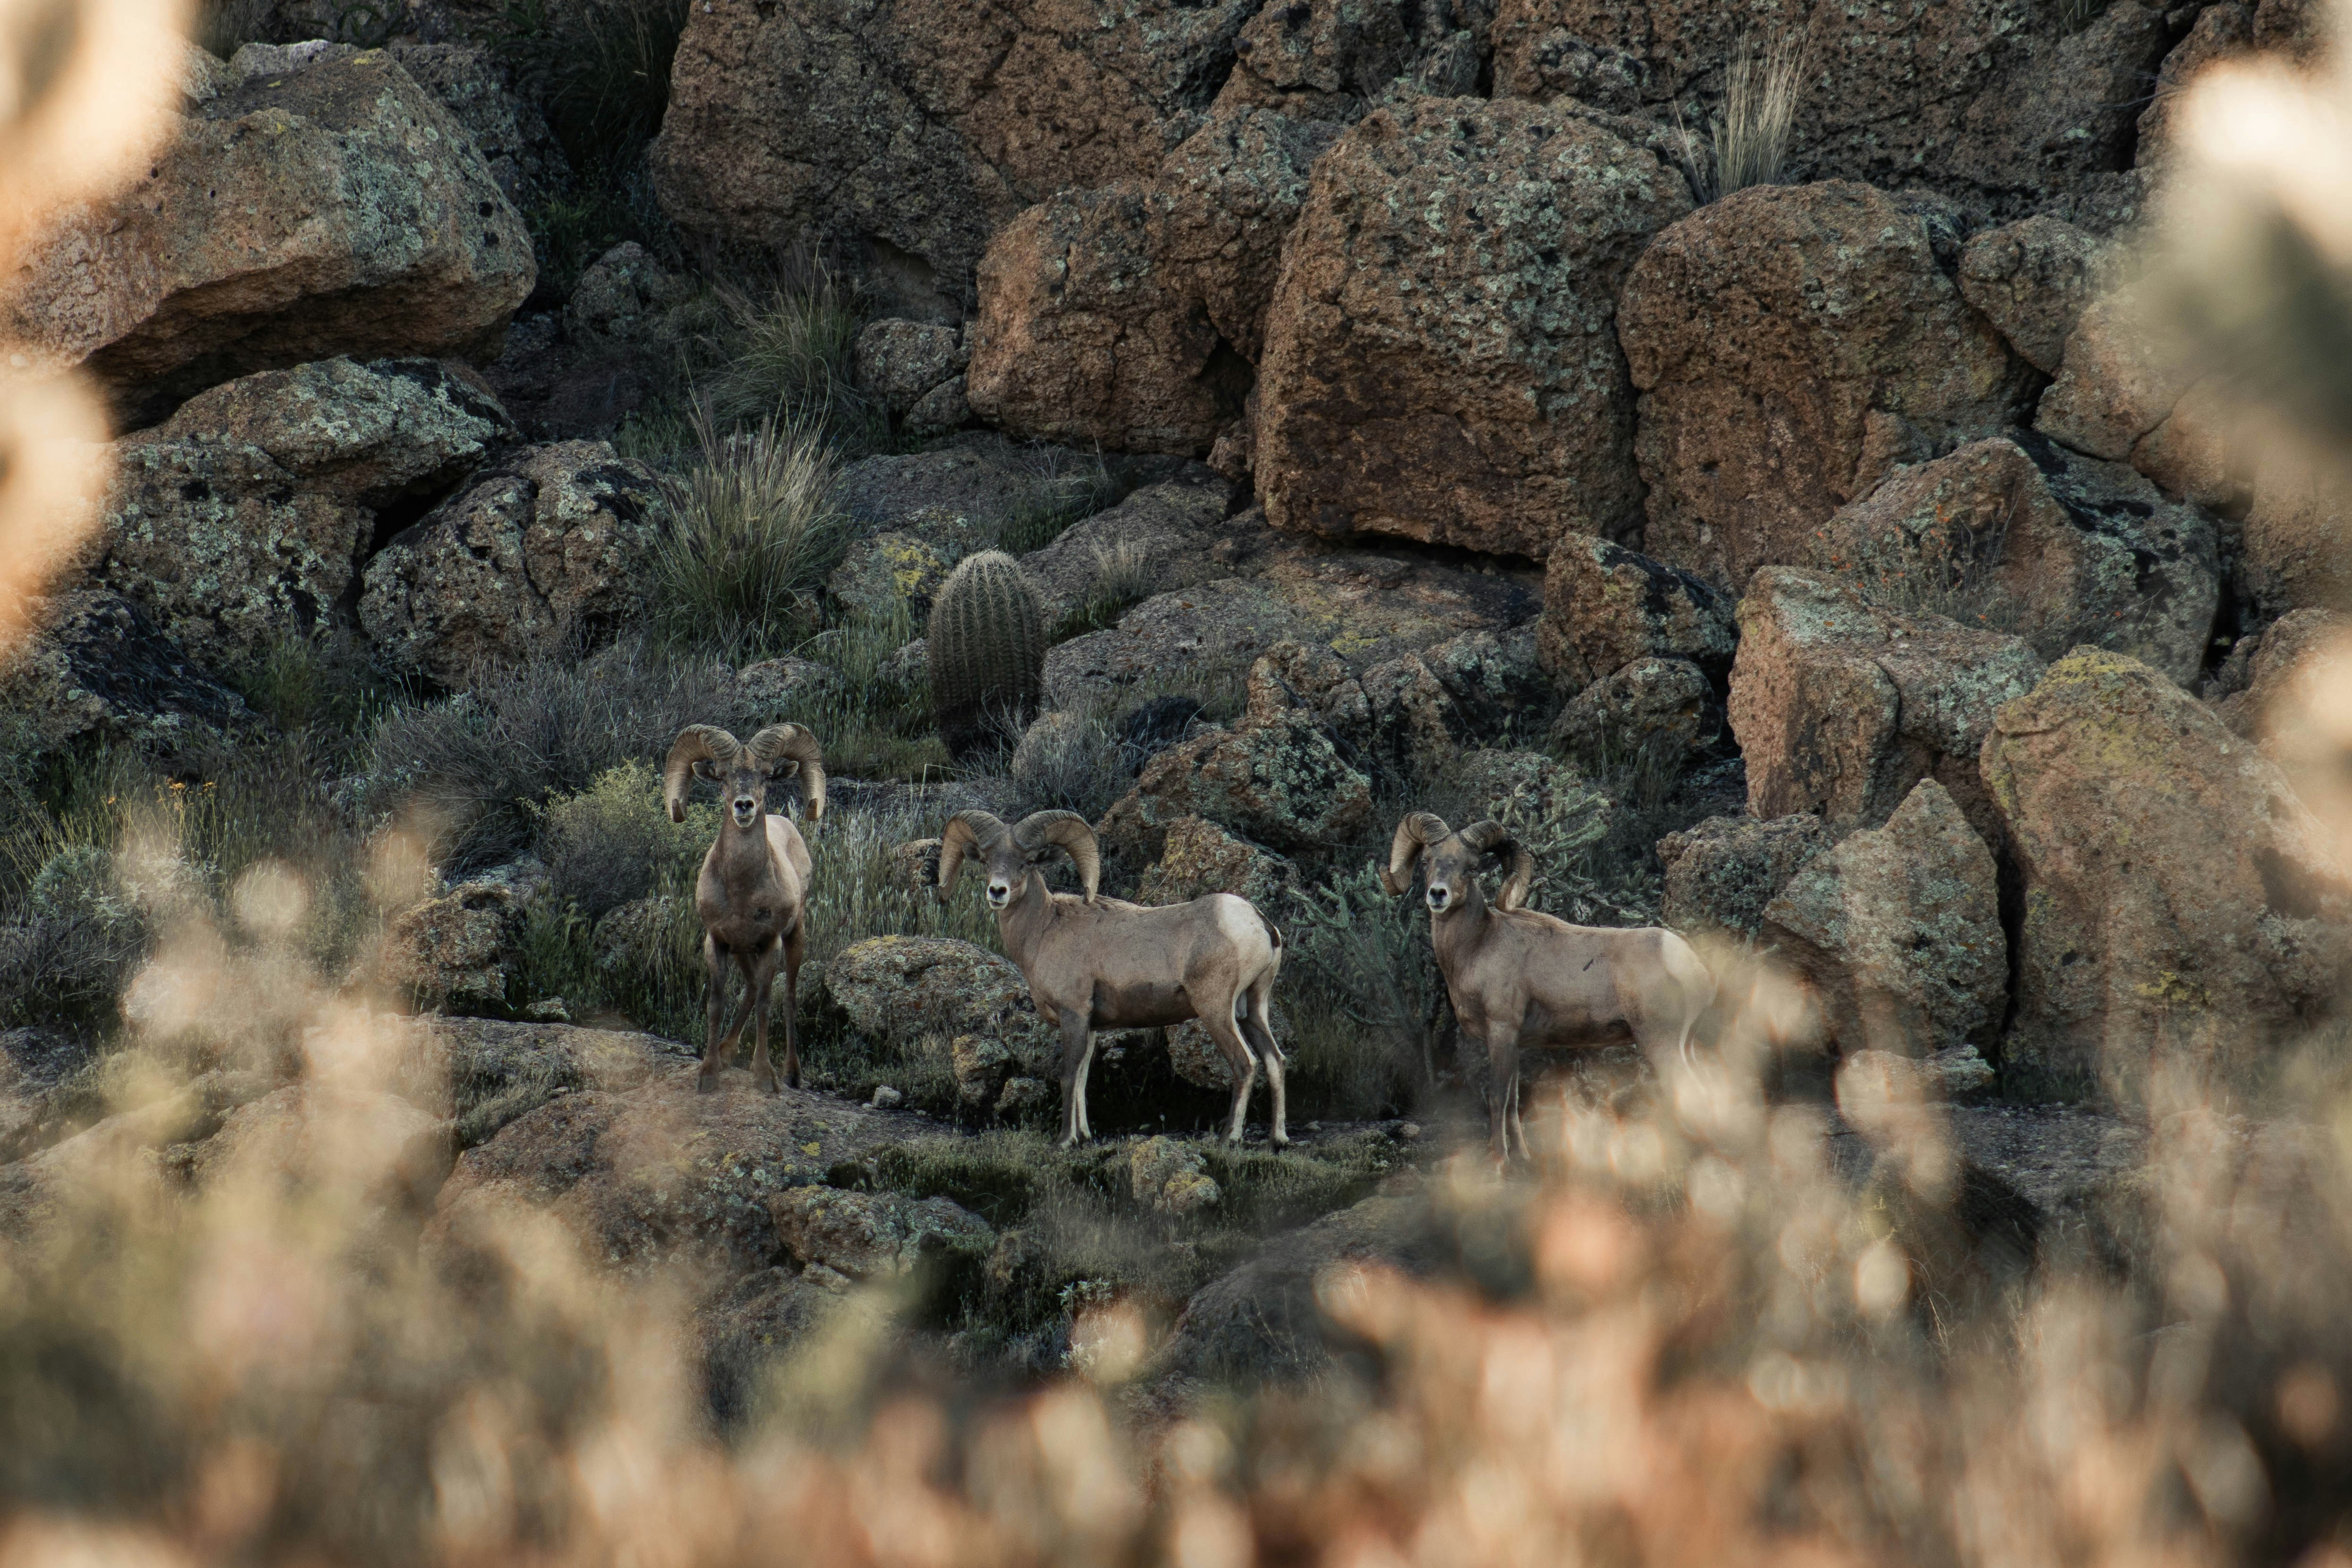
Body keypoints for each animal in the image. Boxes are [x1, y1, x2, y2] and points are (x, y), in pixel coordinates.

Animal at [663, 724, 828, 1090]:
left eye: (766, 776)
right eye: (722, 777)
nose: (744, 805)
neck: (742, 890)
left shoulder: (770, 944)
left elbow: (767, 1003)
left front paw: (765, 1076)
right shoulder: (718, 941)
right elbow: (717, 1002)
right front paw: (709, 1073)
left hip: (795, 937)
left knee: (788, 996)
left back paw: (791, 1074)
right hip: (742, 951)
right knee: (750, 990)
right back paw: (727, 1052)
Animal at [936, 818, 1298, 1147]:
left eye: (1027, 862)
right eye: (986, 861)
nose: (997, 892)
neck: (1044, 931)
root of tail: (1259, 923)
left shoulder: (1074, 1015)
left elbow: (1069, 1075)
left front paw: (1064, 1141)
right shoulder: (1092, 1025)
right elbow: (1083, 1077)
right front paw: (1084, 1136)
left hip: (1216, 1010)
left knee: (1245, 1064)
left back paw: (1228, 1139)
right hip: (1252, 1009)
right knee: (1275, 1061)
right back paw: (1277, 1140)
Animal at [1383, 818, 1721, 1161]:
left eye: (1471, 867)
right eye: (1427, 862)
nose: (1438, 894)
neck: (1479, 945)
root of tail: (1693, 965)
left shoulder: (1501, 1032)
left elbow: (1498, 1098)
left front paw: (1499, 1162)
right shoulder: (1514, 1043)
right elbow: (1513, 1101)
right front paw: (1522, 1158)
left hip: (1661, 1043)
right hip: (1687, 1045)